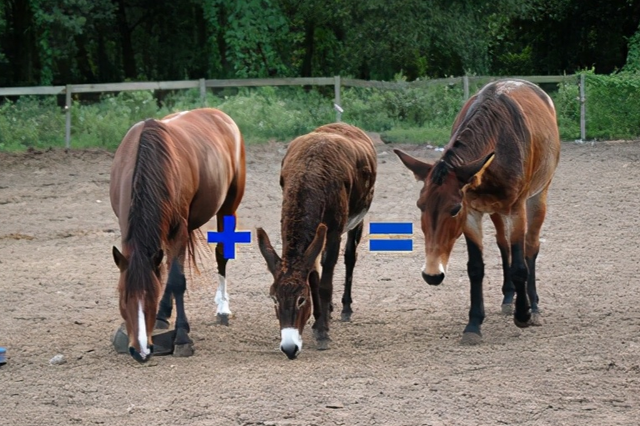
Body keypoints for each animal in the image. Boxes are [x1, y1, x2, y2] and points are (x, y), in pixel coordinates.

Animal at [110, 107, 245, 362]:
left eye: (150, 297)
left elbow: (176, 280)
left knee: (221, 254)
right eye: (122, 297)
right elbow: (167, 273)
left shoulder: (178, 230)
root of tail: (220, 115)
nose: (141, 351)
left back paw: (222, 309)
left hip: (227, 207)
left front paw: (182, 337)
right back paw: (164, 315)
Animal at [255, 123, 376, 360]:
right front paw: (320, 318)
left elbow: (326, 282)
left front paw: (322, 332)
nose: (289, 348)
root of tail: (344, 125)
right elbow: (313, 274)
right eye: (274, 298)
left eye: (302, 299)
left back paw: (345, 308)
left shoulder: (334, 231)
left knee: (350, 257)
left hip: (357, 218)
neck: (309, 173)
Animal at [396, 78, 560, 342]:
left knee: (531, 247)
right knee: (503, 245)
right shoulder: (472, 212)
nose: (431, 274)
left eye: (454, 210)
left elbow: (520, 265)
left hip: (537, 197)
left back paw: (533, 306)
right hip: (495, 210)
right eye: (420, 206)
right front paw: (473, 324)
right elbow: (476, 268)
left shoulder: (516, 209)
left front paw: (523, 314)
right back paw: (508, 297)